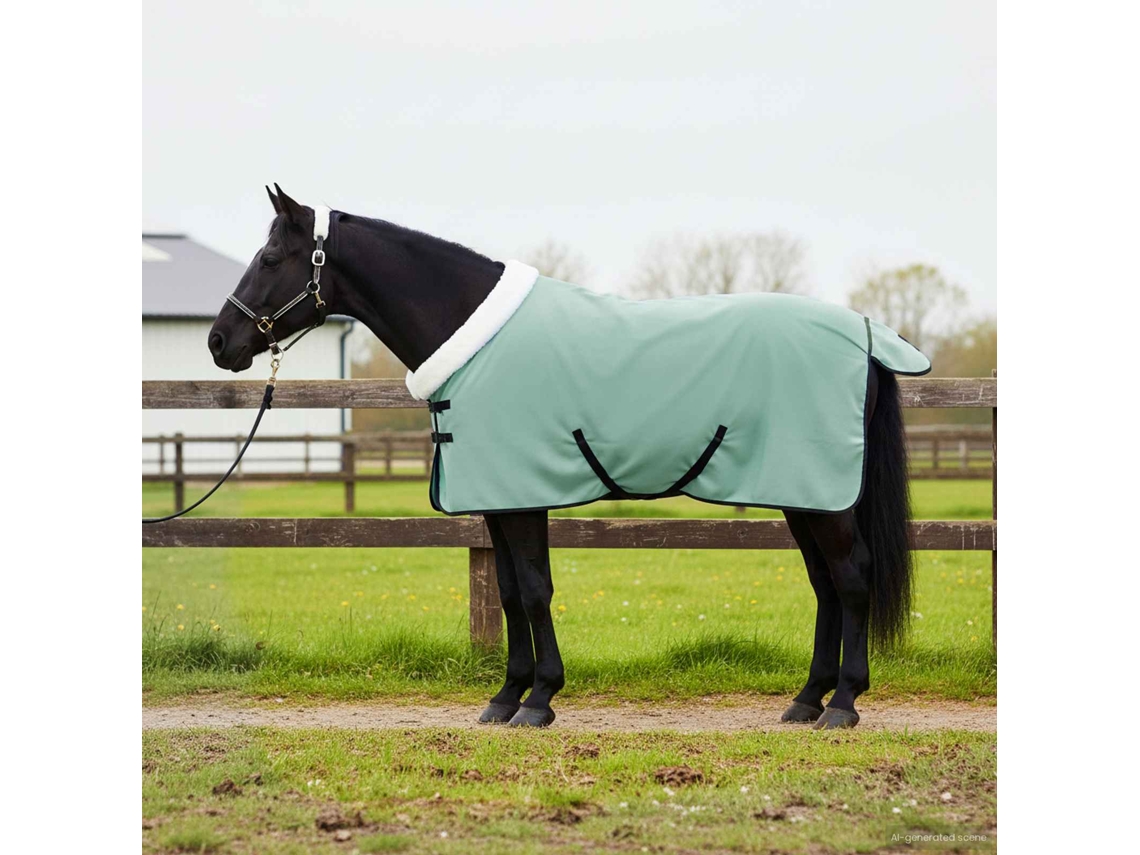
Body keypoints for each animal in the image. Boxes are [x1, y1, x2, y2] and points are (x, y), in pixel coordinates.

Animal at [207, 185, 923, 730]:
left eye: (270, 256)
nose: (219, 341)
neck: (473, 337)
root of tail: (865, 334)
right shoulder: (497, 501)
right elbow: (507, 593)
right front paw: (506, 697)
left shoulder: (522, 497)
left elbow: (532, 589)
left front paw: (540, 699)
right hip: (804, 494)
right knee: (825, 584)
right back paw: (806, 700)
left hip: (825, 497)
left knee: (851, 577)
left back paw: (843, 704)